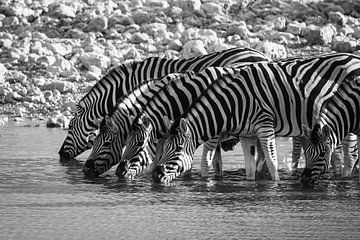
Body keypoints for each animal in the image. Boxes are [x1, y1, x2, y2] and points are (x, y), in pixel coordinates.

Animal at [152, 53, 360, 183]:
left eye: (177, 149)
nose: (157, 175)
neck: (233, 102)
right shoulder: (247, 134)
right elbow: (250, 167)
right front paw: (252, 187)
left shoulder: (264, 126)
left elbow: (271, 162)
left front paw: (274, 185)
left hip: (347, 116)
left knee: (350, 154)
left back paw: (344, 179)